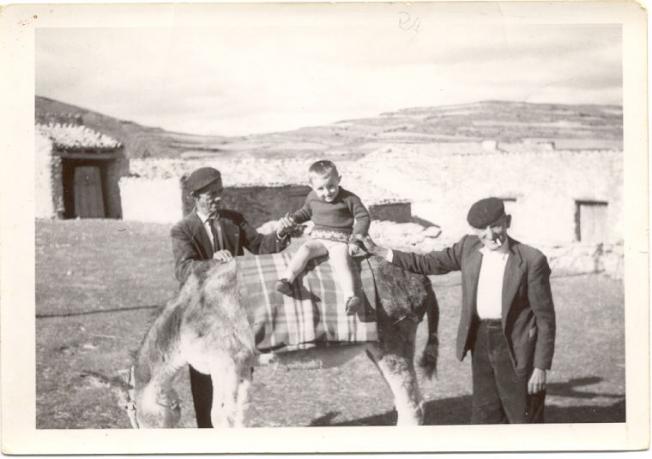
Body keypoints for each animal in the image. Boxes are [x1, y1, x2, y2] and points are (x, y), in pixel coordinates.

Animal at [85, 254, 439, 428]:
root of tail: (417, 275)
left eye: (130, 410)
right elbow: (237, 416)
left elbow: (220, 419)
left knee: (413, 407)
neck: (186, 316)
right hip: (376, 349)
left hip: (394, 344)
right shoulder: (241, 367)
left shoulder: (226, 364)